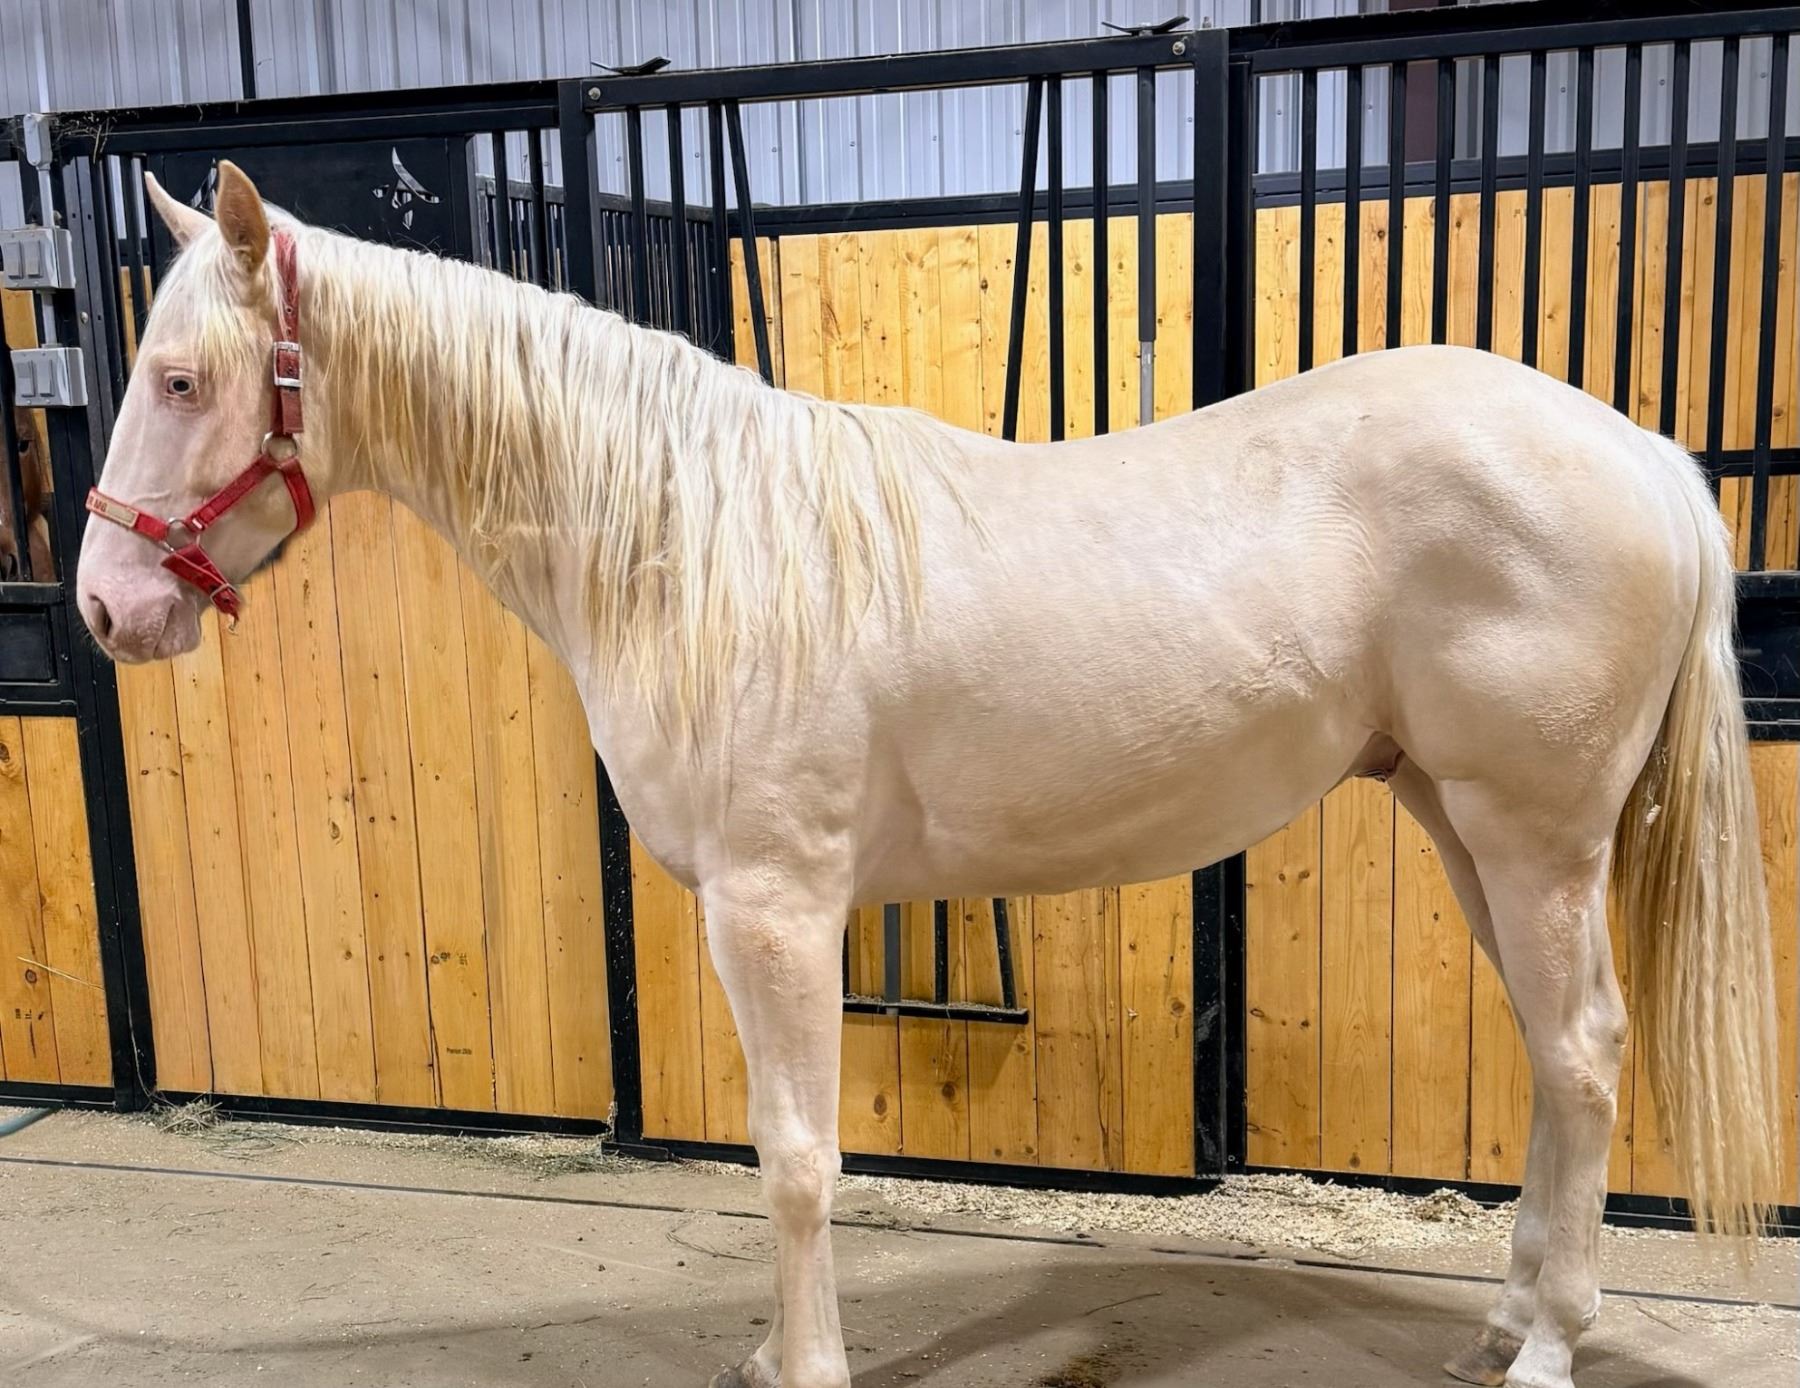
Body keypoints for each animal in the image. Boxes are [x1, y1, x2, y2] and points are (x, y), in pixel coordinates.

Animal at [76, 161, 1779, 1388]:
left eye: (179, 381)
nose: (103, 608)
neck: (694, 546)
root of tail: (1646, 458)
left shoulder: (774, 909)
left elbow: (797, 1161)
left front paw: (807, 1367)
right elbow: (785, 1149)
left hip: (1533, 836)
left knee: (1585, 1054)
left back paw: (1548, 1348)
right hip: (1463, 827)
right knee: (1557, 1064)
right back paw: (1507, 1318)